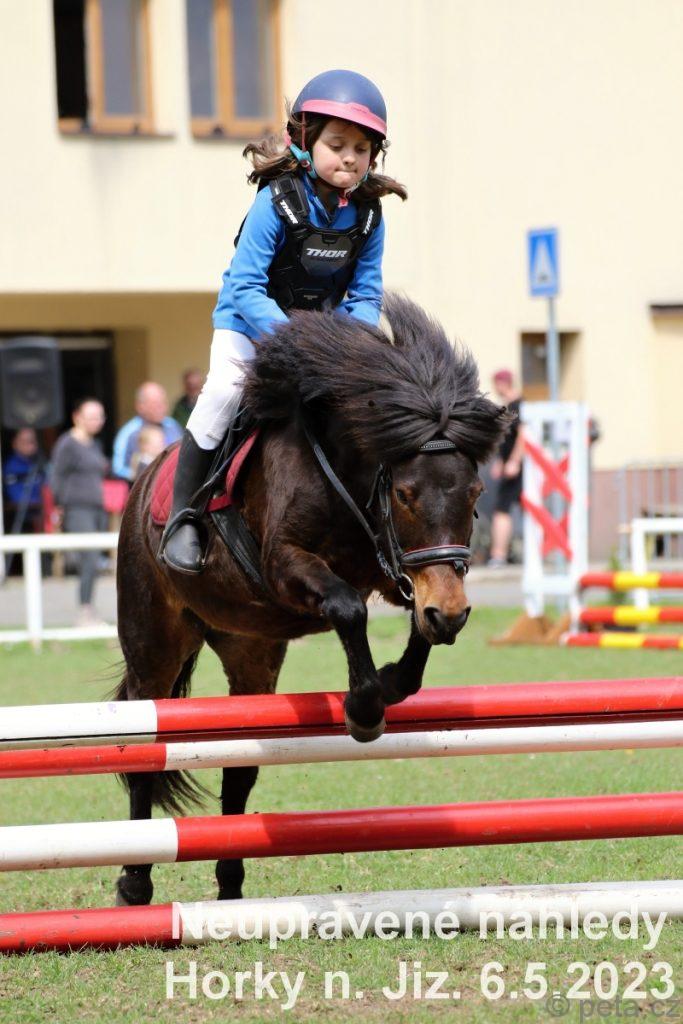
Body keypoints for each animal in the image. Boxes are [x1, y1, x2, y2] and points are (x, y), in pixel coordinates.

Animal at [113, 294, 509, 906]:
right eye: (404, 494)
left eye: (475, 493)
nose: (451, 613)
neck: (346, 471)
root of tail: (141, 485)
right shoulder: (287, 565)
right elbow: (348, 608)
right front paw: (365, 709)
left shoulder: (399, 571)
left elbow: (416, 630)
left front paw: (394, 679)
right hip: (153, 644)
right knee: (144, 753)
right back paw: (134, 882)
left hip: (251, 653)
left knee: (238, 769)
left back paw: (231, 890)